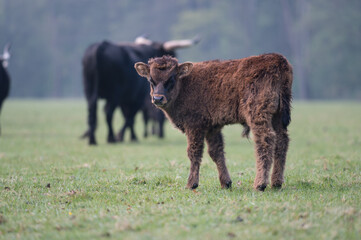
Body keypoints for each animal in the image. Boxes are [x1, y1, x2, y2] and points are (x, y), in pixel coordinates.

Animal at [135, 54, 292, 191]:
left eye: (171, 79)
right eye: (151, 80)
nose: (158, 98)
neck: (185, 84)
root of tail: (278, 60)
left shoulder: (194, 126)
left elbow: (194, 152)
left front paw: (191, 184)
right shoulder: (213, 128)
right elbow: (216, 152)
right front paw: (226, 183)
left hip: (258, 115)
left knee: (265, 140)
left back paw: (260, 184)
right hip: (277, 117)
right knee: (282, 141)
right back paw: (276, 183)